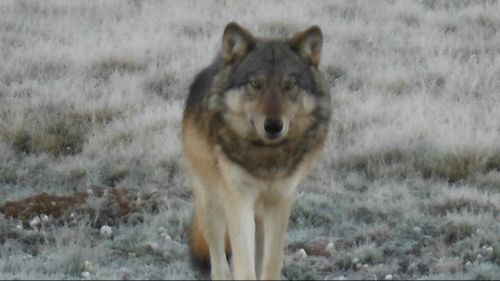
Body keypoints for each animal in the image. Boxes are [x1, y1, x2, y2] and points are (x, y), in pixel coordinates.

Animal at [181, 22, 332, 280]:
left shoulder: (280, 200)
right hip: (212, 201)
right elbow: (243, 265)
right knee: (218, 260)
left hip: (259, 212)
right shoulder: (238, 199)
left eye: (289, 85)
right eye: (255, 84)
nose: (273, 126)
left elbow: (271, 264)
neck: (266, 157)